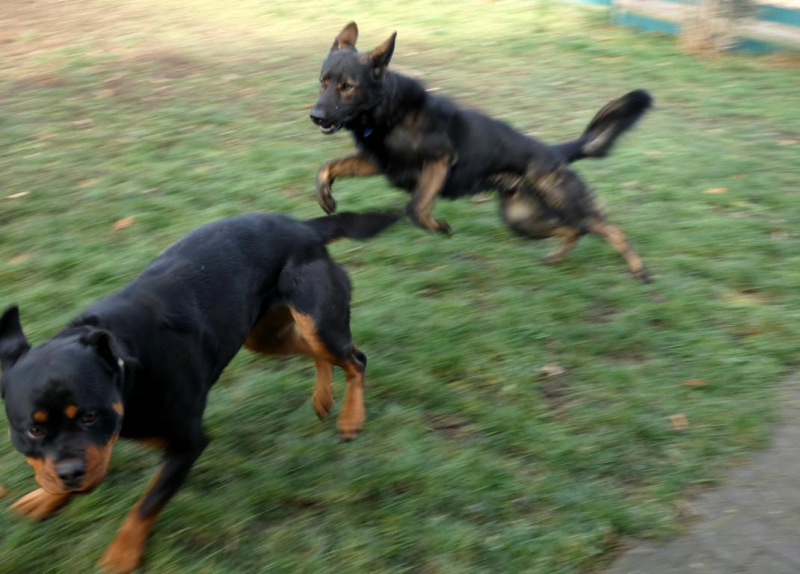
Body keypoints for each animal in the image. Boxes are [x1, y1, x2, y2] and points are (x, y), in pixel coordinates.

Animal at [0, 210, 398, 573]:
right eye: (33, 430)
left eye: (89, 416)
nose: (71, 473)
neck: (128, 375)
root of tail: (302, 225)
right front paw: (44, 498)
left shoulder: (187, 445)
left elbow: (145, 505)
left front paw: (120, 557)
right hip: (263, 336)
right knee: (317, 352)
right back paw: (323, 397)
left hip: (316, 321)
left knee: (355, 359)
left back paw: (351, 418)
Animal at [310, 22, 653, 282]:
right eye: (323, 82)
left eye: (347, 86)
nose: (315, 116)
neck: (386, 109)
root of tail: (554, 151)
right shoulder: (378, 162)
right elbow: (326, 167)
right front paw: (325, 196)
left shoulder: (438, 161)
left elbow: (416, 208)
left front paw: (439, 227)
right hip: (522, 221)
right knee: (576, 230)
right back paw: (555, 258)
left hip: (562, 203)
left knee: (606, 228)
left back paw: (639, 270)